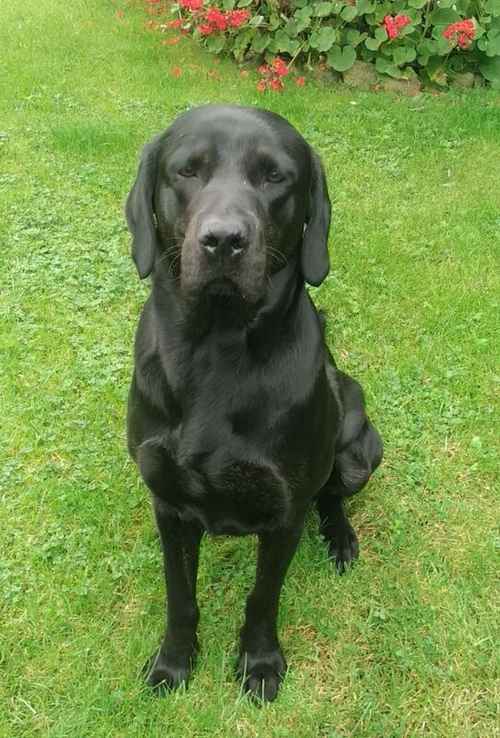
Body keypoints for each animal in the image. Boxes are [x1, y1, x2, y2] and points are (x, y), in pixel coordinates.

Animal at [126, 102, 382, 696]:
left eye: (274, 177)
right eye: (187, 170)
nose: (224, 240)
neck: (216, 353)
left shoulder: (286, 512)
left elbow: (263, 597)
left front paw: (260, 662)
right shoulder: (168, 505)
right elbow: (180, 597)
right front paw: (174, 663)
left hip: (361, 447)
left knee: (331, 497)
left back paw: (340, 539)